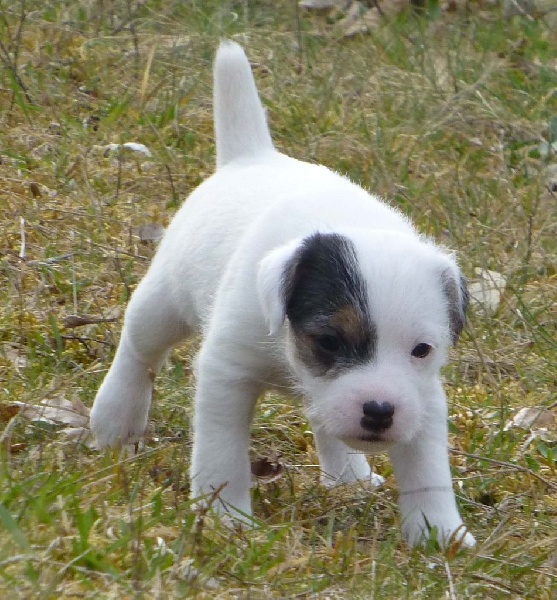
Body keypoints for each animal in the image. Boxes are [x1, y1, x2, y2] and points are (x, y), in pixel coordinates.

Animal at [90, 41, 474, 548]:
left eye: (422, 350)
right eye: (329, 341)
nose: (379, 411)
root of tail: (253, 157)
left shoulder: (422, 398)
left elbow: (428, 471)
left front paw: (440, 533)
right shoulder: (226, 375)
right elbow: (222, 454)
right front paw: (226, 518)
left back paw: (348, 475)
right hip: (164, 302)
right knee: (138, 350)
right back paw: (115, 416)